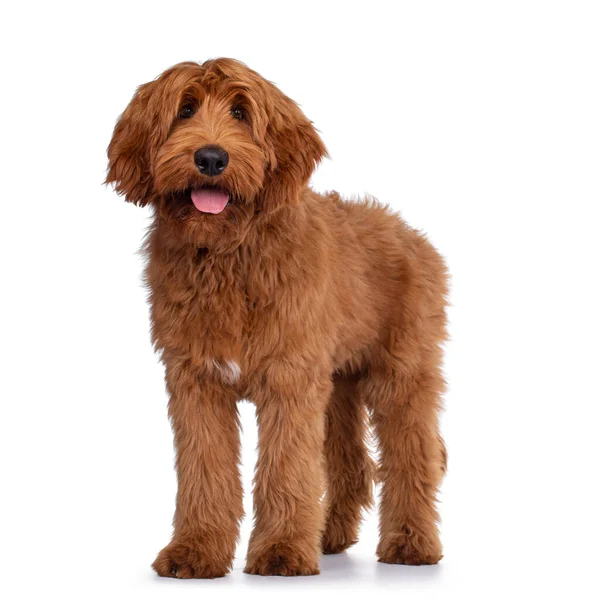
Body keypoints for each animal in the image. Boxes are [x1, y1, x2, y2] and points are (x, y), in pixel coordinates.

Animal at [105, 58, 448, 580]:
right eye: (185, 109)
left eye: (241, 113)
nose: (211, 158)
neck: (228, 254)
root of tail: (411, 232)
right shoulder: (196, 381)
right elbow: (204, 470)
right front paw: (196, 551)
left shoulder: (290, 378)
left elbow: (286, 468)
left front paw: (282, 551)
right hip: (338, 384)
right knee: (350, 464)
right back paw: (328, 537)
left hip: (401, 375)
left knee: (414, 459)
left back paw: (411, 544)